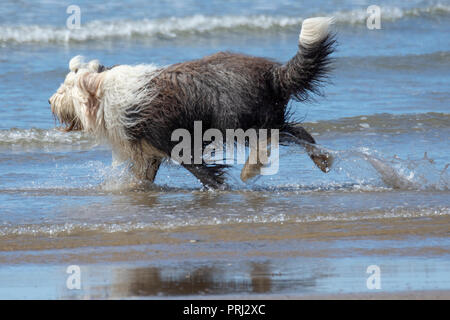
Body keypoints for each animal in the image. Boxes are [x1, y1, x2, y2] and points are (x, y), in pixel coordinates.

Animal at [51, 16, 336, 188]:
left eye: (65, 88)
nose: (50, 100)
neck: (103, 95)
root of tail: (274, 74)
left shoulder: (176, 142)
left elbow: (202, 171)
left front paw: (217, 187)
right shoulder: (148, 152)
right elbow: (142, 176)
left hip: (240, 121)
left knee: (269, 141)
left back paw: (250, 170)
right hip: (266, 117)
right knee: (297, 132)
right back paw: (323, 160)